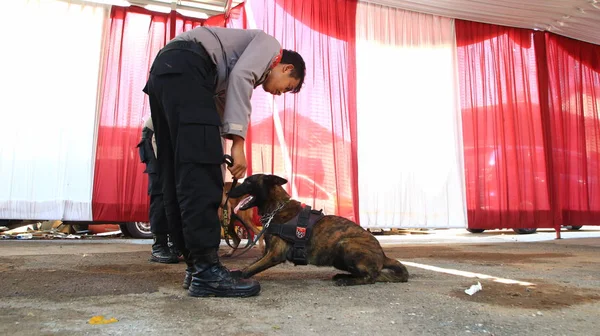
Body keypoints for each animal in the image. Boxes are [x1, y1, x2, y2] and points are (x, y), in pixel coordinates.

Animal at [227, 173, 410, 286]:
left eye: (248, 181)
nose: (228, 192)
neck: (277, 208)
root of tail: (383, 255)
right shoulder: (267, 253)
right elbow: (250, 266)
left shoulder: (274, 254)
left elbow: (247, 270)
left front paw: (234, 277)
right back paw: (344, 276)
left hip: (345, 244)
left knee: (371, 277)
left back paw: (347, 280)